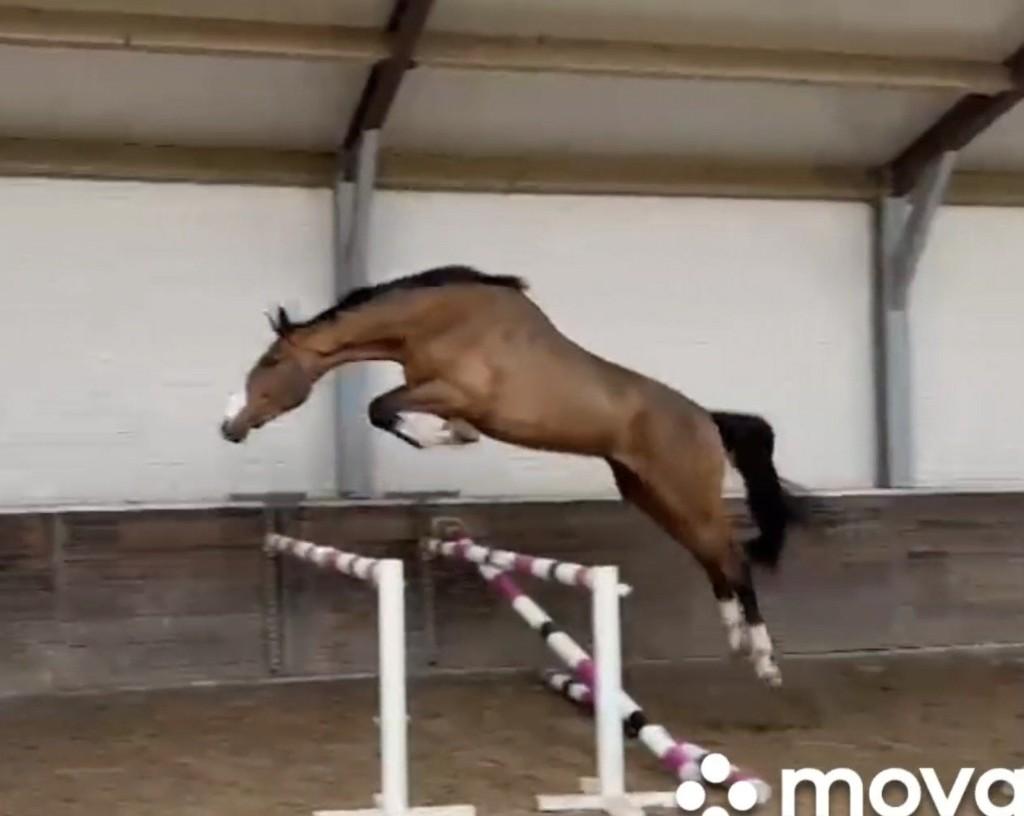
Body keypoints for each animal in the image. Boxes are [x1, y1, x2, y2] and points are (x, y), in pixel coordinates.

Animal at [220, 265, 808, 687]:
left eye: (271, 363)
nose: (230, 426)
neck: (441, 322)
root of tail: (707, 419)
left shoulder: (453, 393)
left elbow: (380, 407)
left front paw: (442, 438)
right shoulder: (438, 393)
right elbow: (389, 411)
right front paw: (444, 437)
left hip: (685, 493)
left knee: (732, 558)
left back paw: (766, 662)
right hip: (652, 494)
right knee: (712, 559)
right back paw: (736, 641)